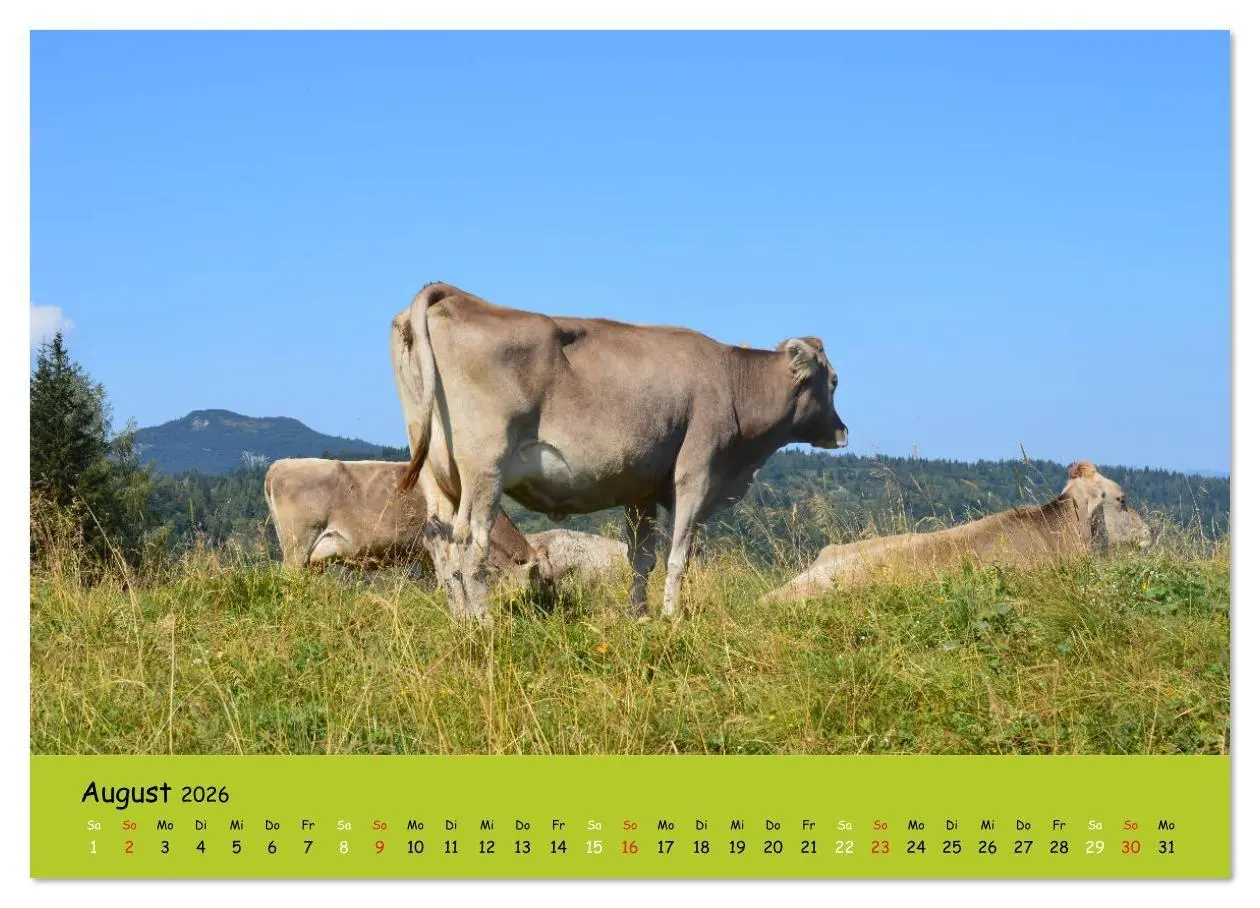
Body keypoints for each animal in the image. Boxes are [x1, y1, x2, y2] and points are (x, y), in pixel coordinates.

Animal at [391, 282, 848, 620]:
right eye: (835, 381)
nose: (842, 431)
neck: (733, 381)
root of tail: (457, 296)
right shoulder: (697, 473)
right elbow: (679, 556)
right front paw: (670, 617)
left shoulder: (640, 490)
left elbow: (642, 559)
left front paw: (639, 616)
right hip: (485, 468)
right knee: (470, 542)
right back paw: (484, 622)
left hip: (437, 473)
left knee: (441, 543)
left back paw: (460, 619)